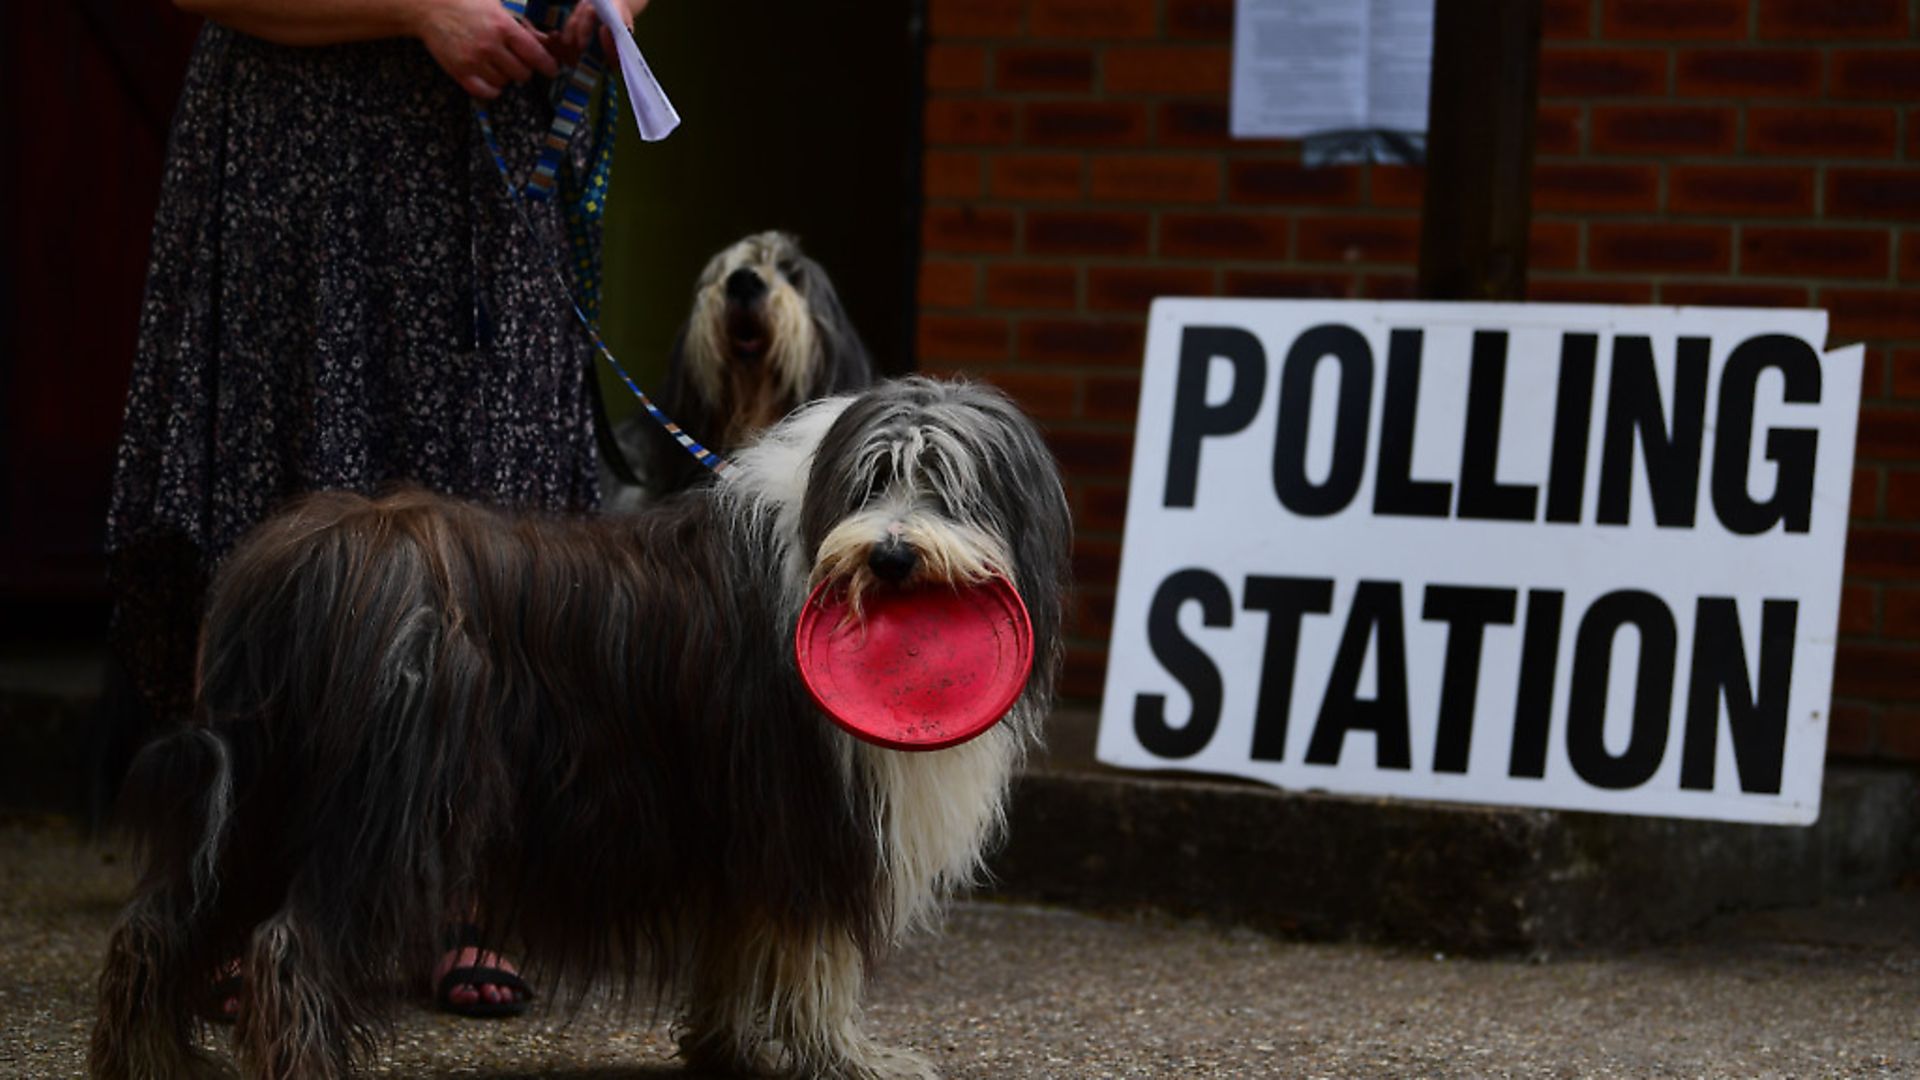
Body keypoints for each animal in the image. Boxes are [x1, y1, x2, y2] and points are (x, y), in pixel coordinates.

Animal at [93, 378, 1067, 1076]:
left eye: (948, 488)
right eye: (876, 479)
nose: (892, 553)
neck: (818, 533)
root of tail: (310, 559)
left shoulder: (735, 821)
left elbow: (740, 939)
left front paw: (726, 1046)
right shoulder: (809, 817)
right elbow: (813, 958)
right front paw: (850, 1058)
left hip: (264, 789)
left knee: (158, 926)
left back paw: (154, 1062)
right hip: (390, 809)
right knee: (291, 949)